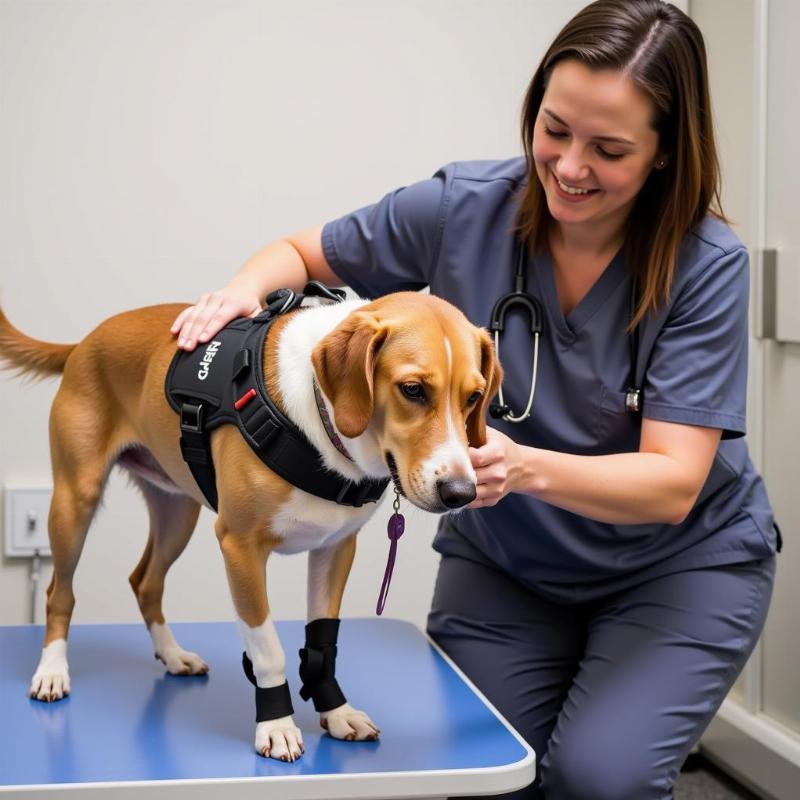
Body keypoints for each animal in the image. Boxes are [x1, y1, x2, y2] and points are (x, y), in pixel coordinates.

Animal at [0, 292, 500, 764]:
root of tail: (85, 342)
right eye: (412, 389)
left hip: (177, 511)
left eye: (474, 397)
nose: (460, 493)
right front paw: (276, 725)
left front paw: (336, 712)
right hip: (75, 500)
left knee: (145, 581)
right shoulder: (239, 547)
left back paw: (173, 654)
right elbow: (267, 648)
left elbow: (322, 643)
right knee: (59, 592)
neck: (320, 416)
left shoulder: (336, 549)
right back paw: (52, 670)